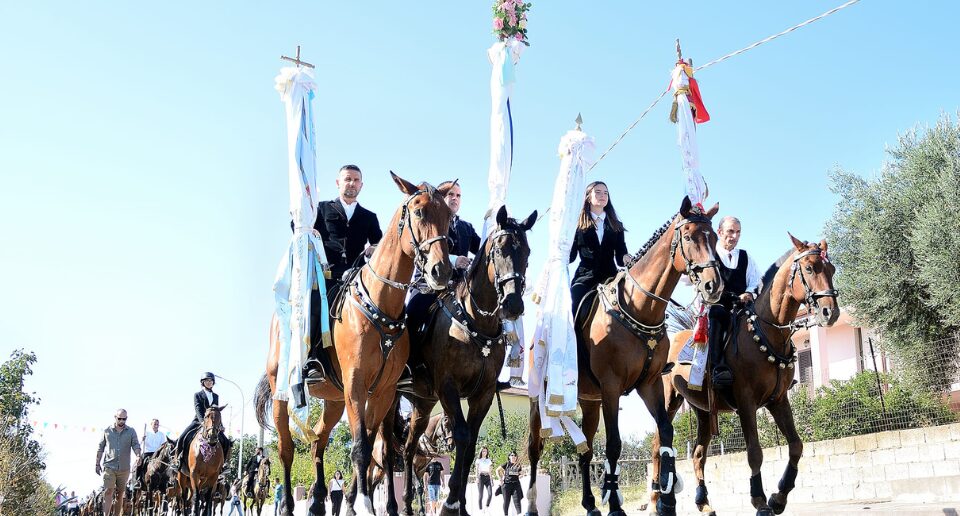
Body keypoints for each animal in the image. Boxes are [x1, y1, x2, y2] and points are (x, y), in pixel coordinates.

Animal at [253, 173, 452, 516]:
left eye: (449, 217)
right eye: (419, 212)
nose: (441, 271)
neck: (381, 305)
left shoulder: (383, 392)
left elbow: (373, 447)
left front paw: (360, 501)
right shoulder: (356, 385)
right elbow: (360, 448)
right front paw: (363, 503)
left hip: (333, 400)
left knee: (318, 441)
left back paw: (318, 501)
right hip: (283, 392)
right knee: (286, 448)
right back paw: (290, 505)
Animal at [396, 207, 536, 516]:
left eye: (527, 252)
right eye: (500, 249)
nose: (513, 305)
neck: (475, 323)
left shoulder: (482, 394)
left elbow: (471, 444)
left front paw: (460, 503)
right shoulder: (448, 388)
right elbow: (461, 435)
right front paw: (450, 502)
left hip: (423, 404)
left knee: (409, 448)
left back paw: (409, 504)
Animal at [524, 198, 720, 516]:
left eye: (713, 238)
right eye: (690, 237)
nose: (713, 285)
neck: (639, 309)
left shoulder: (649, 385)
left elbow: (665, 433)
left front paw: (666, 501)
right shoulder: (612, 387)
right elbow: (614, 444)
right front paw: (616, 504)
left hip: (589, 402)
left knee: (585, 451)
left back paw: (590, 504)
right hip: (537, 402)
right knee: (534, 449)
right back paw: (531, 505)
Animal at [656, 235, 836, 516]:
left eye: (832, 270)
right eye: (809, 269)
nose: (830, 312)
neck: (765, 332)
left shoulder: (778, 400)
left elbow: (796, 445)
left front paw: (779, 497)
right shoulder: (746, 402)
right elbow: (754, 452)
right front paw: (760, 500)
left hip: (703, 412)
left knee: (698, 453)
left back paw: (703, 502)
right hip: (667, 402)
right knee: (658, 449)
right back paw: (658, 502)